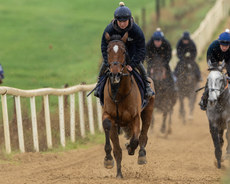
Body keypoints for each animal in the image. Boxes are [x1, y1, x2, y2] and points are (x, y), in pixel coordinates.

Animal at [103, 32, 155, 178]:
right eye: (108, 51)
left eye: (124, 51)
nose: (115, 74)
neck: (119, 94)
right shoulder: (109, 115)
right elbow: (116, 148)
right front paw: (111, 164)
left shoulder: (135, 117)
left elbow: (135, 139)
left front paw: (130, 148)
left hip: (148, 109)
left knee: (143, 134)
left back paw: (141, 155)